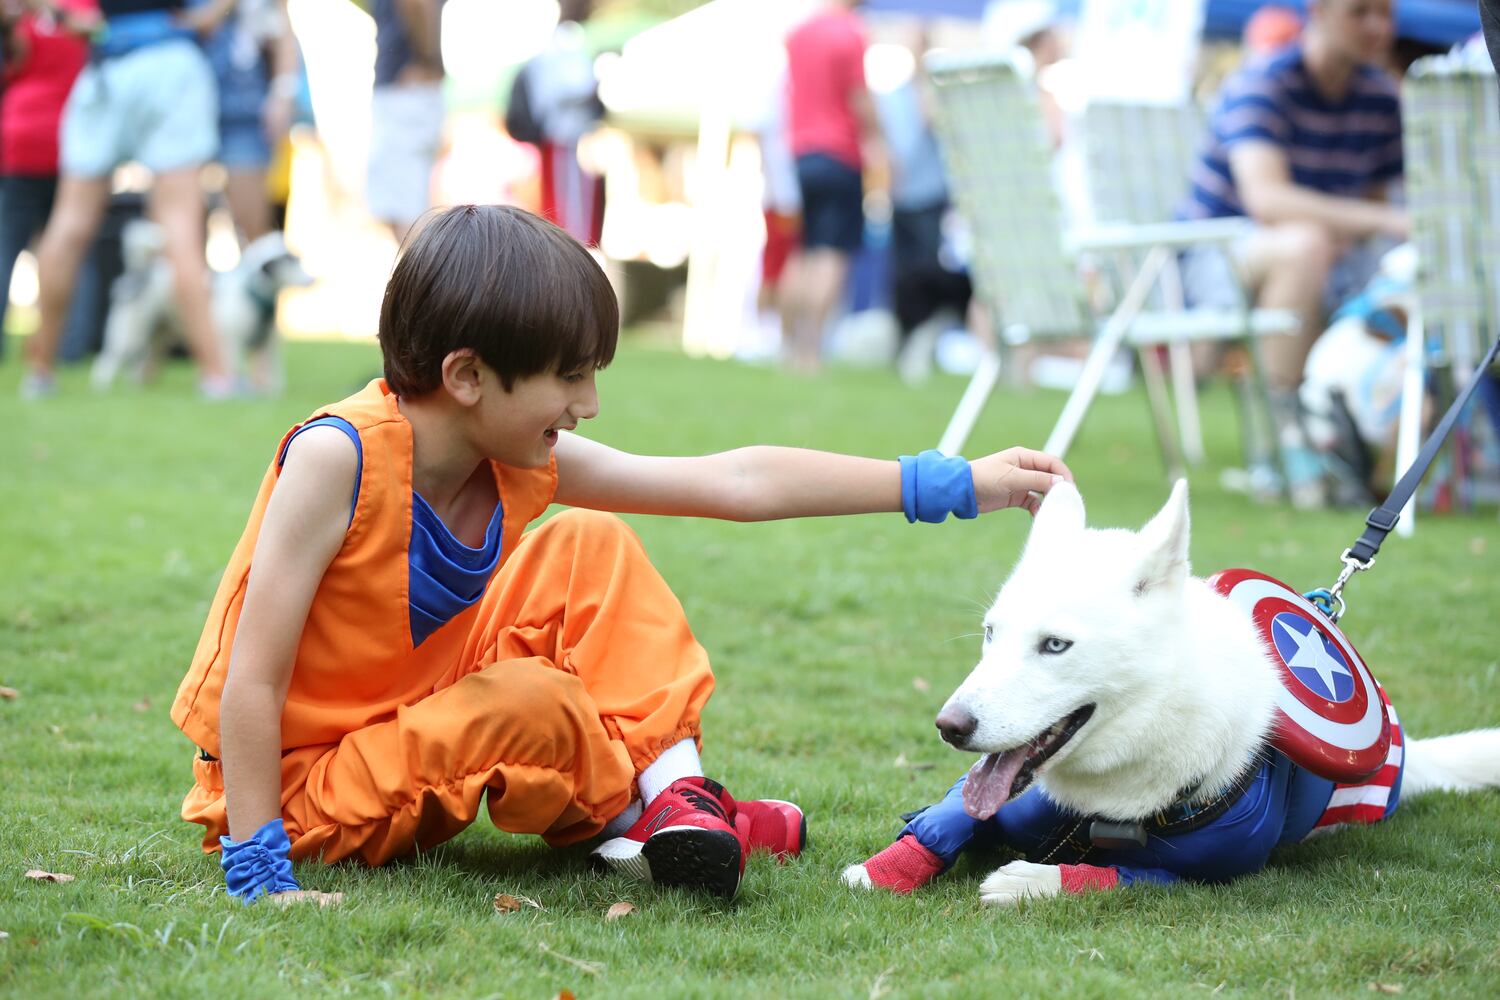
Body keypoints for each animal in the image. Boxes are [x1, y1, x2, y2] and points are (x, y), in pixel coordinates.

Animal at [90, 223, 310, 395]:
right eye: (289, 263)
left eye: (297, 260)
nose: (311, 279)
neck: (253, 294)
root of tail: (140, 271)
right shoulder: (229, 341)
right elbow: (233, 366)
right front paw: (236, 390)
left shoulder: (268, 344)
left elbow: (273, 373)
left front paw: (271, 394)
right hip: (129, 331)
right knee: (109, 358)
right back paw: (102, 387)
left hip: (156, 334)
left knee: (138, 362)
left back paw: (136, 386)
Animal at [846, 485, 1500, 905]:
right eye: (990, 633)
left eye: (1055, 645)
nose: (948, 726)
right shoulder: (987, 799)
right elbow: (944, 820)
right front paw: (881, 871)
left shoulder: (1204, 876)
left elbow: (1107, 875)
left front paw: (1026, 880)